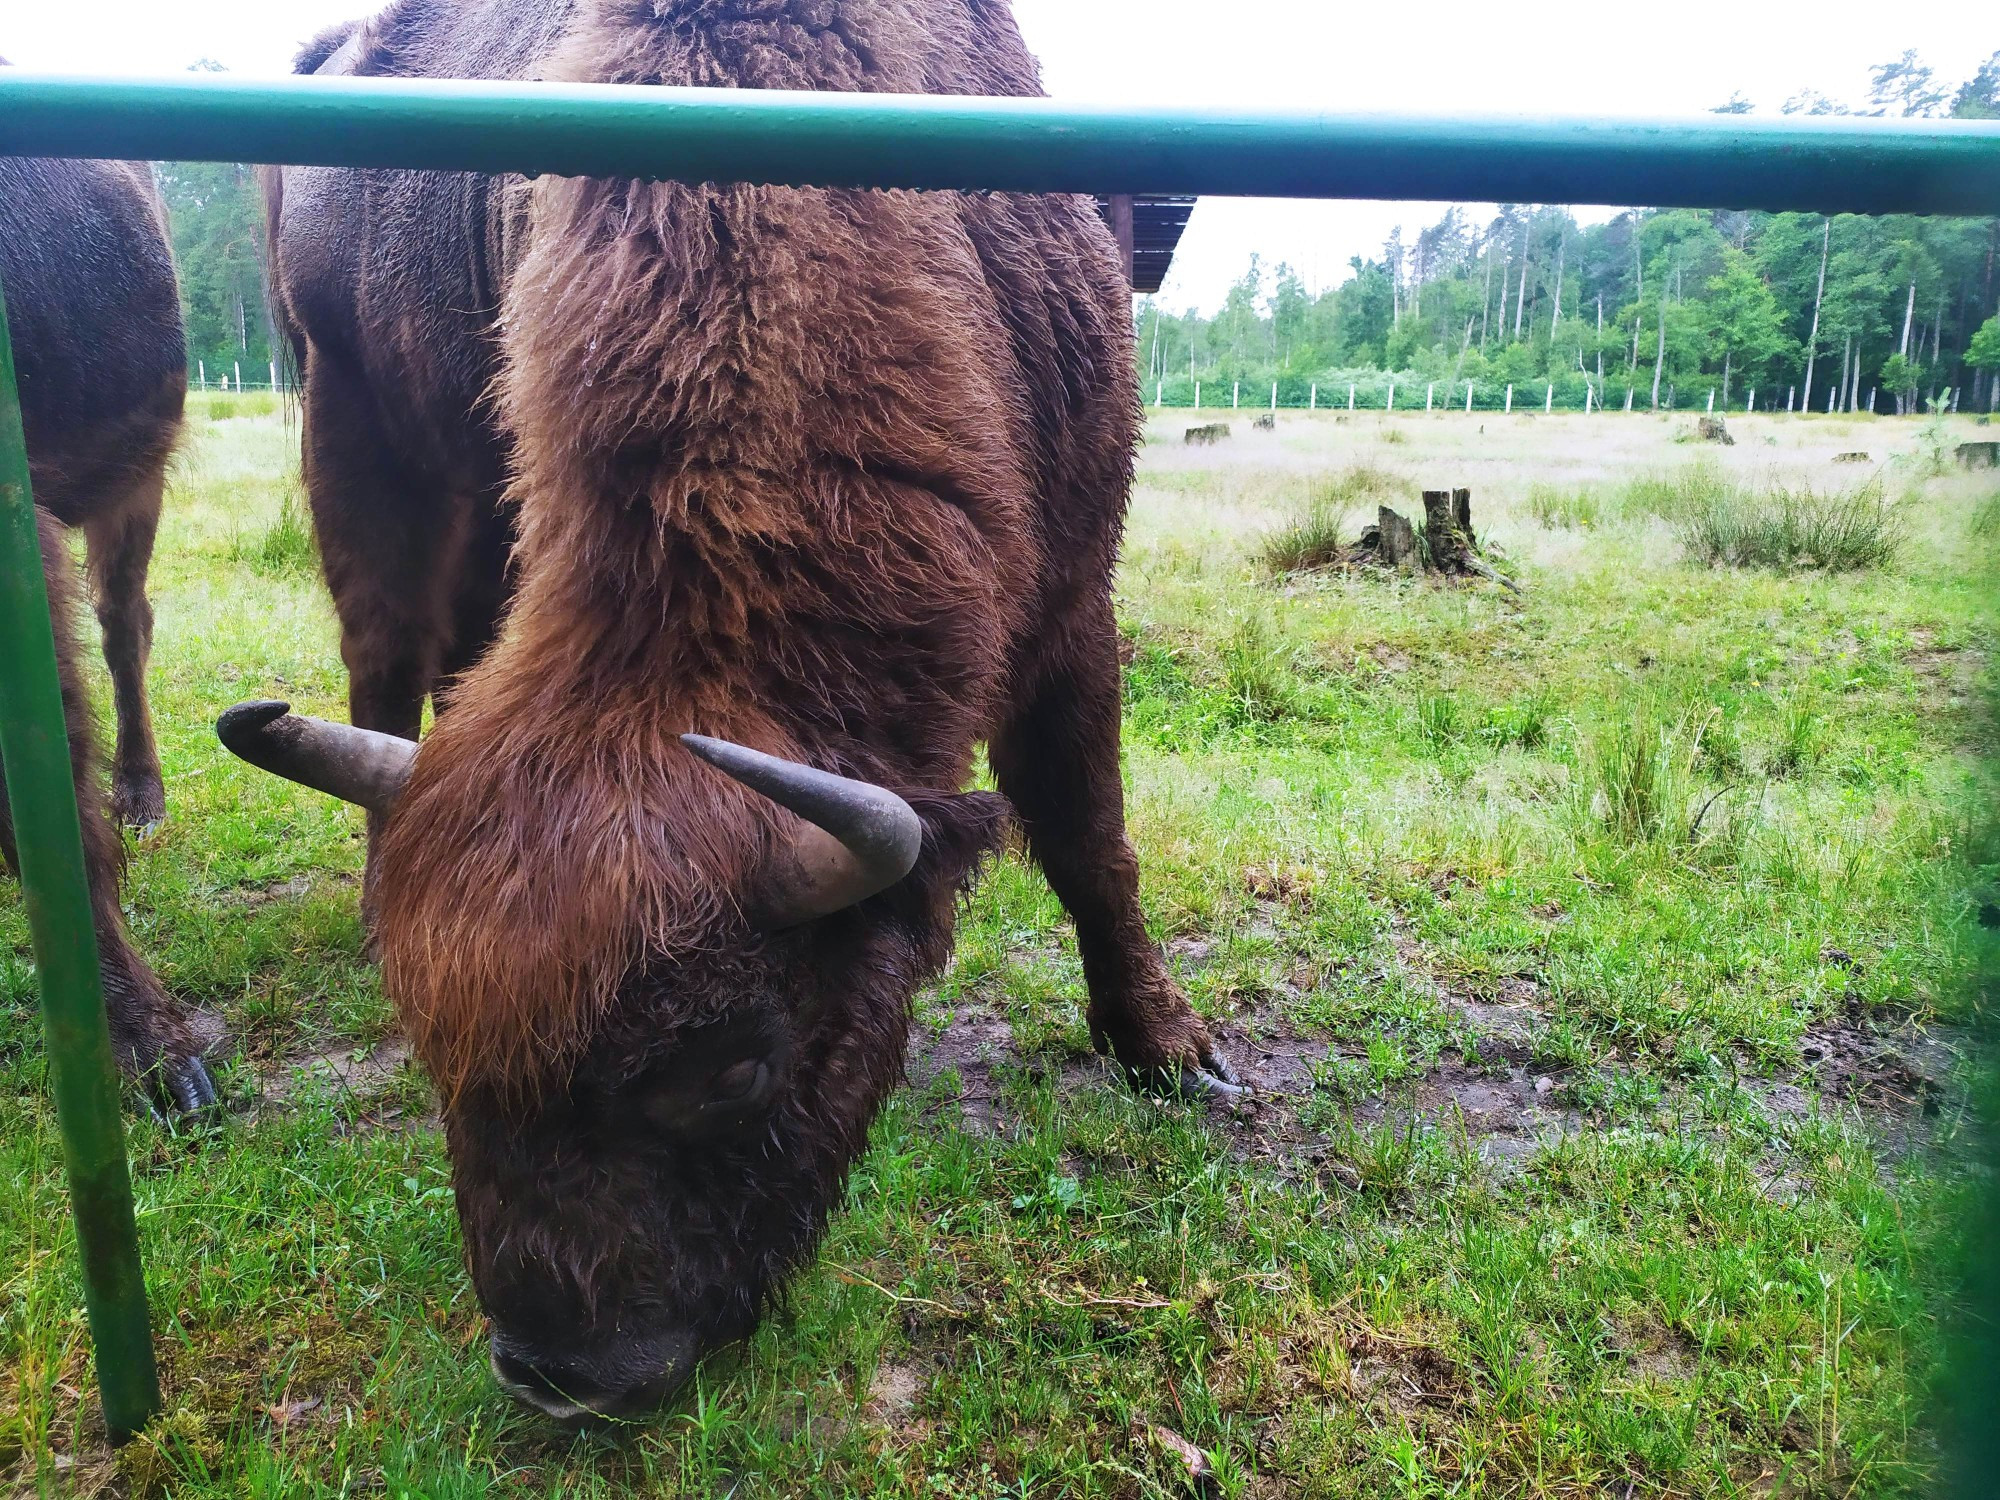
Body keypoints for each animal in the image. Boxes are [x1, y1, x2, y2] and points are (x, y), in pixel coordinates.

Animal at [230, 0, 1232, 1424]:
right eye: (439, 1058)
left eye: (739, 1061)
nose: (561, 1374)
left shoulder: (1070, 599)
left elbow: (1090, 835)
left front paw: (1169, 1051)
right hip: (360, 445)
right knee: (385, 669)